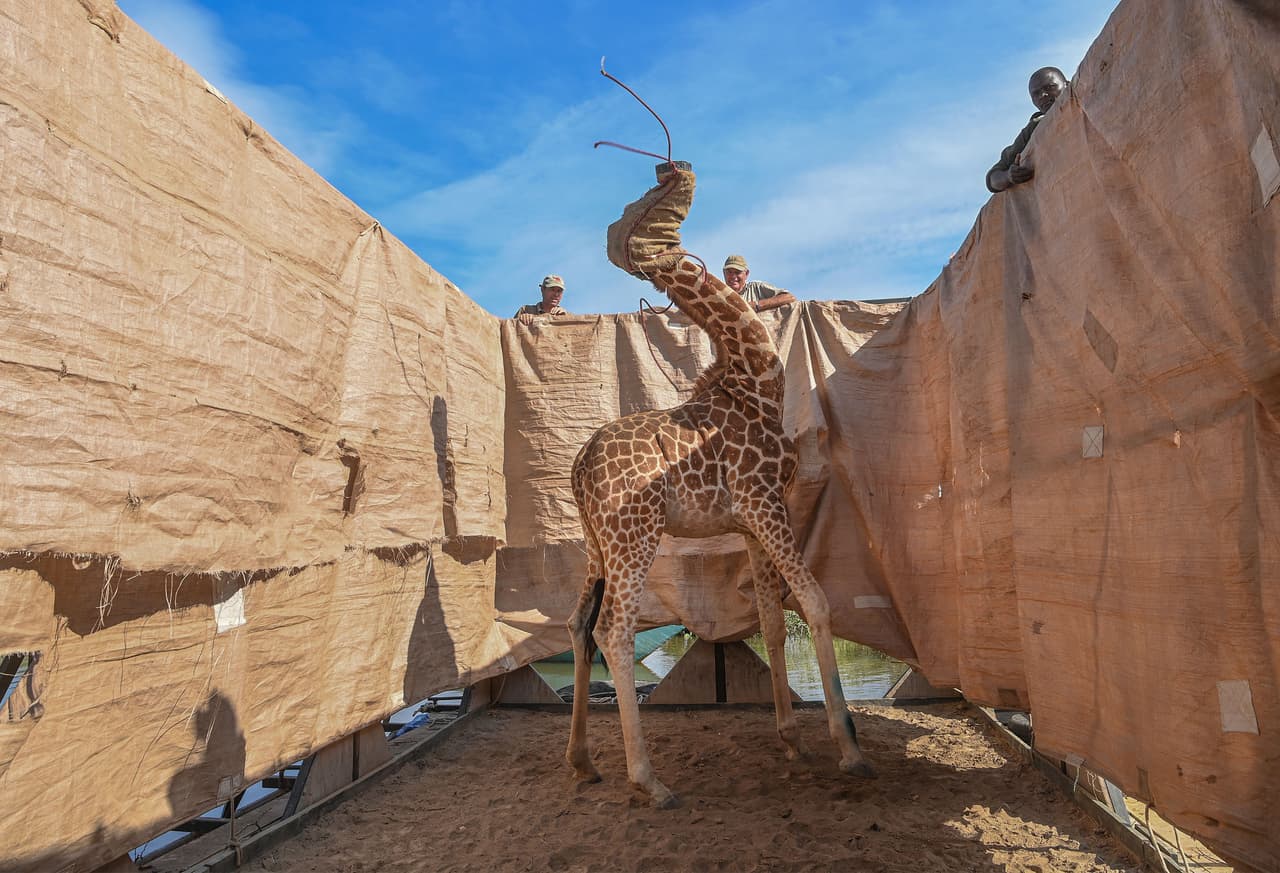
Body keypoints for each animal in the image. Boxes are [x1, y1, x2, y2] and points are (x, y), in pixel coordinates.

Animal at [565, 164, 875, 809]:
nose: (675, 170)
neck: (756, 381)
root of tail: (579, 468)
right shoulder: (765, 502)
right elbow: (815, 601)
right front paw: (849, 747)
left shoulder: (754, 519)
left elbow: (774, 620)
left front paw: (791, 740)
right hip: (634, 536)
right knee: (615, 631)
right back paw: (649, 780)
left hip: (595, 544)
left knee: (579, 625)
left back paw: (582, 762)